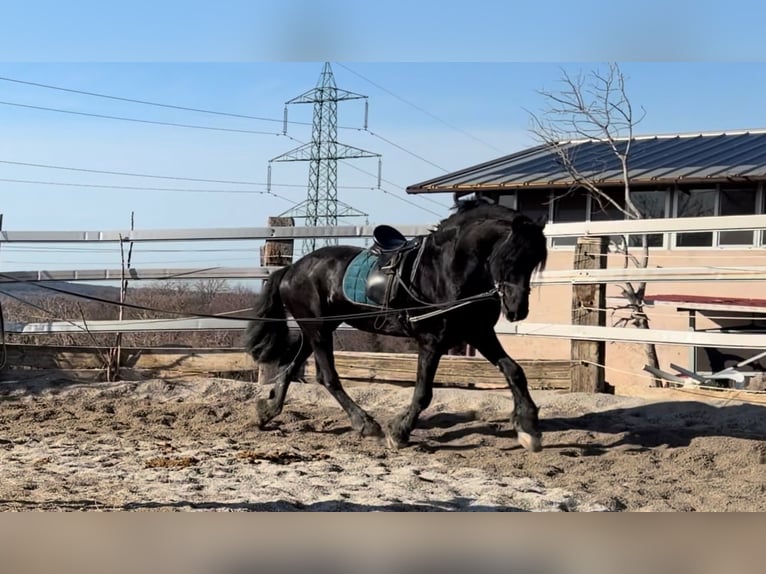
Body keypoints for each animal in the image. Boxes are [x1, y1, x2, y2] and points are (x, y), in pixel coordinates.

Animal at [244, 198, 548, 452]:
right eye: (510, 257)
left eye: (535, 260)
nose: (517, 311)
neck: (447, 271)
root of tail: (291, 270)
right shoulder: (431, 341)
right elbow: (424, 393)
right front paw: (399, 433)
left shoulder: (479, 333)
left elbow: (514, 371)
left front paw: (529, 429)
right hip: (318, 330)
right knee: (328, 377)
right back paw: (366, 424)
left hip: (318, 329)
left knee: (290, 367)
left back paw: (267, 411)